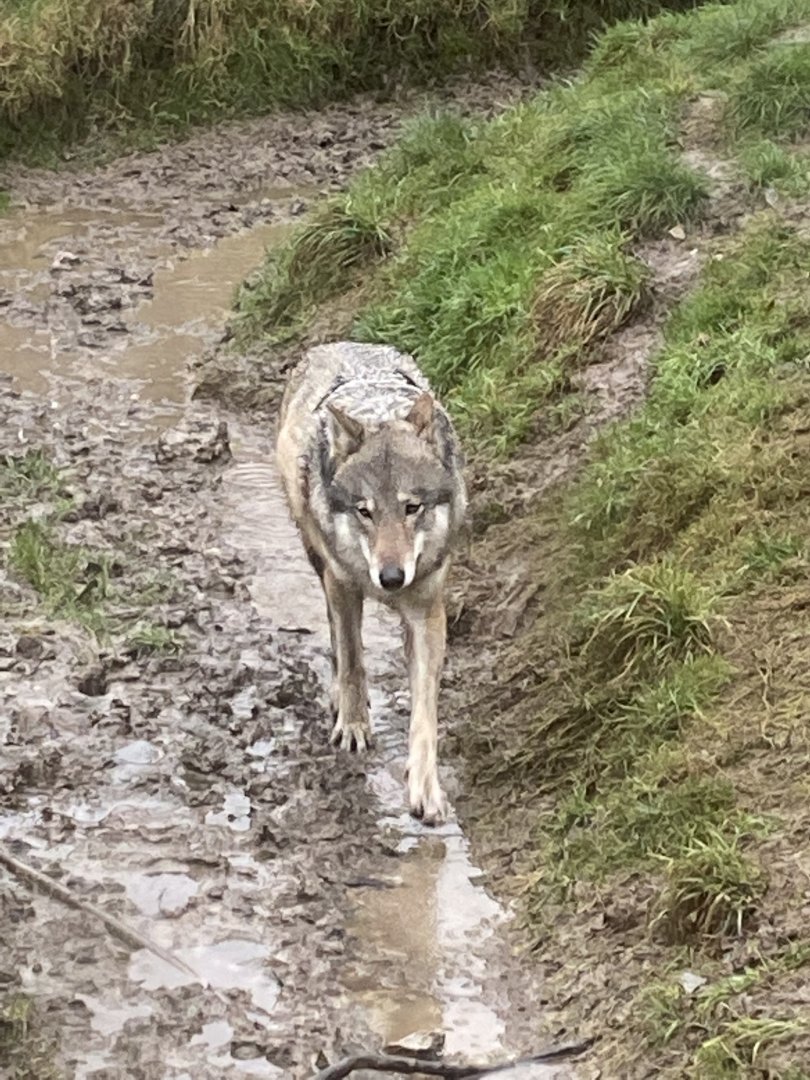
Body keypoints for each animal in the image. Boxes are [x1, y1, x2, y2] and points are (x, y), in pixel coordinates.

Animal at [276, 341, 467, 825]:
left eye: (412, 507)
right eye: (365, 511)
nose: (392, 577)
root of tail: (341, 343)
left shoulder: (427, 608)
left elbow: (425, 712)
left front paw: (426, 790)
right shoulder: (342, 585)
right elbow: (352, 660)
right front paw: (354, 724)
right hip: (319, 562)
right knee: (338, 641)